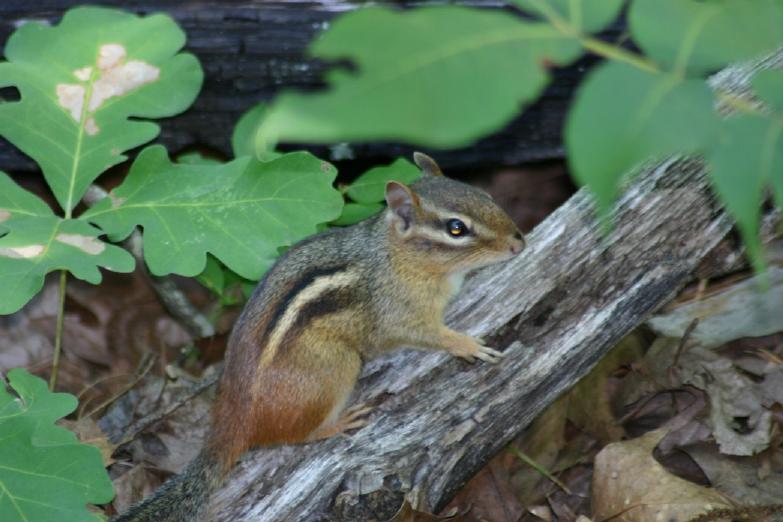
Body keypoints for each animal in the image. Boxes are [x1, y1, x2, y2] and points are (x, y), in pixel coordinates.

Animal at [112, 152, 525, 522]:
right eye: (456, 228)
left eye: (484, 195)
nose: (519, 243)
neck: (395, 254)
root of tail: (233, 420)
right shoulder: (397, 314)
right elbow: (424, 334)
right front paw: (468, 345)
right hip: (337, 366)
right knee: (290, 437)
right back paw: (337, 423)